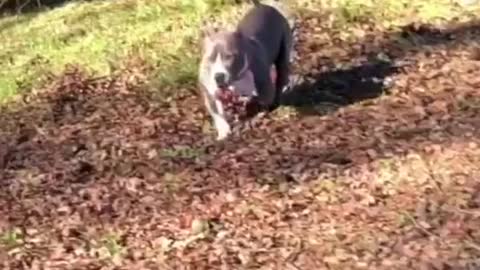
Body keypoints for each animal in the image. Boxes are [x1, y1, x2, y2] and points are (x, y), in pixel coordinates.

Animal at [197, 0, 294, 139]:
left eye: (229, 56)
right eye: (210, 58)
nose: (219, 76)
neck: (236, 79)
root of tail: (262, 6)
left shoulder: (264, 87)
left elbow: (259, 100)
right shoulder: (209, 91)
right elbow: (217, 113)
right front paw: (224, 131)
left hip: (283, 54)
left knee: (280, 80)